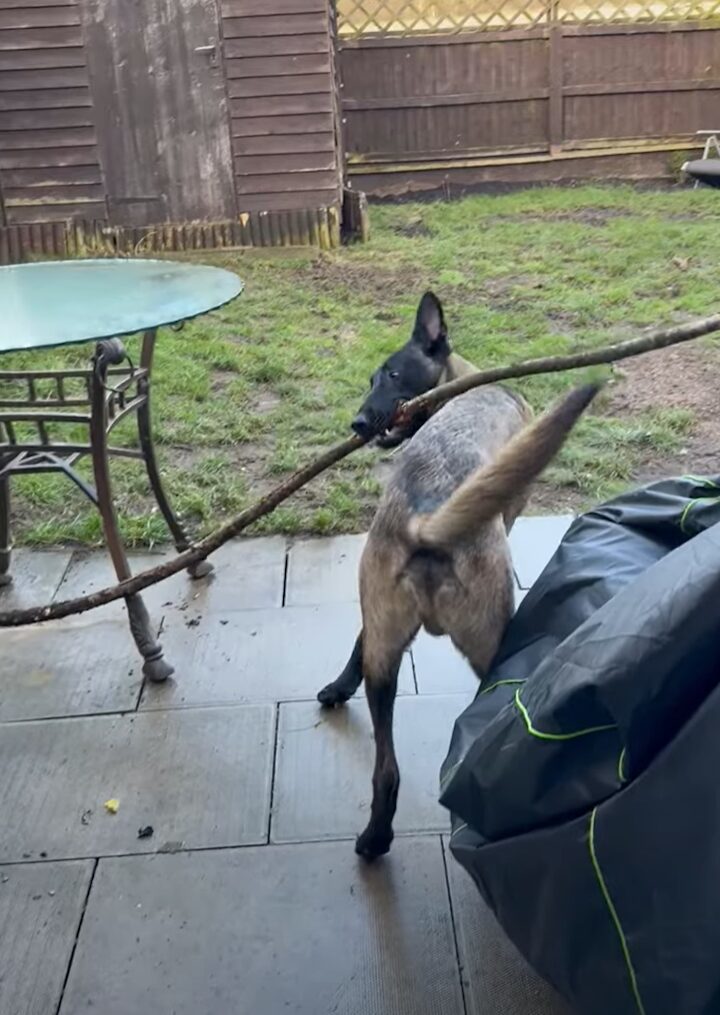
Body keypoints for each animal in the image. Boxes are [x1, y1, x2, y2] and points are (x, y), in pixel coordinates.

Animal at [316, 290, 597, 860]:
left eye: (392, 375)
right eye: (374, 378)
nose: (358, 423)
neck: (464, 386)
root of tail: (427, 520)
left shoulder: (375, 627)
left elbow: (357, 639)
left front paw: (338, 684)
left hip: (386, 658)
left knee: (387, 770)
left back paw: (375, 838)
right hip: (493, 644)